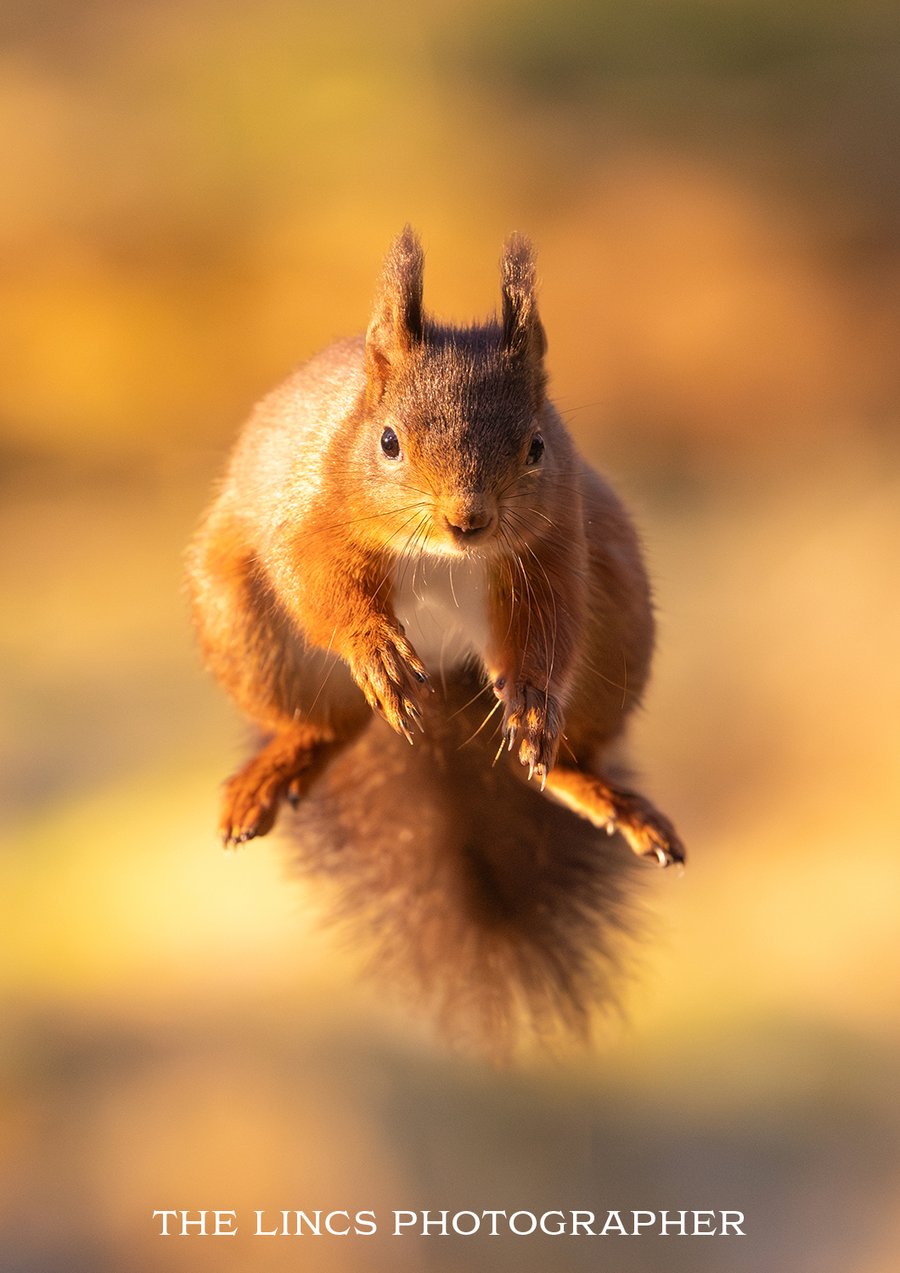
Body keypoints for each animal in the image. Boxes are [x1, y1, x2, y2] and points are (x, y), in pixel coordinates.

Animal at [187, 227, 684, 1046]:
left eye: (537, 447)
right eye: (388, 442)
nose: (468, 520)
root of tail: (452, 675)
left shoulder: (558, 543)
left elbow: (553, 622)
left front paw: (534, 697)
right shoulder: (310, 514)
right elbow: (318, 582)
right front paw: (375, 647)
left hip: (619, 619)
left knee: (558, 754)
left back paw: (589, 782)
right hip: (246, 625)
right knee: (330, 726)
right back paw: (282, 765)